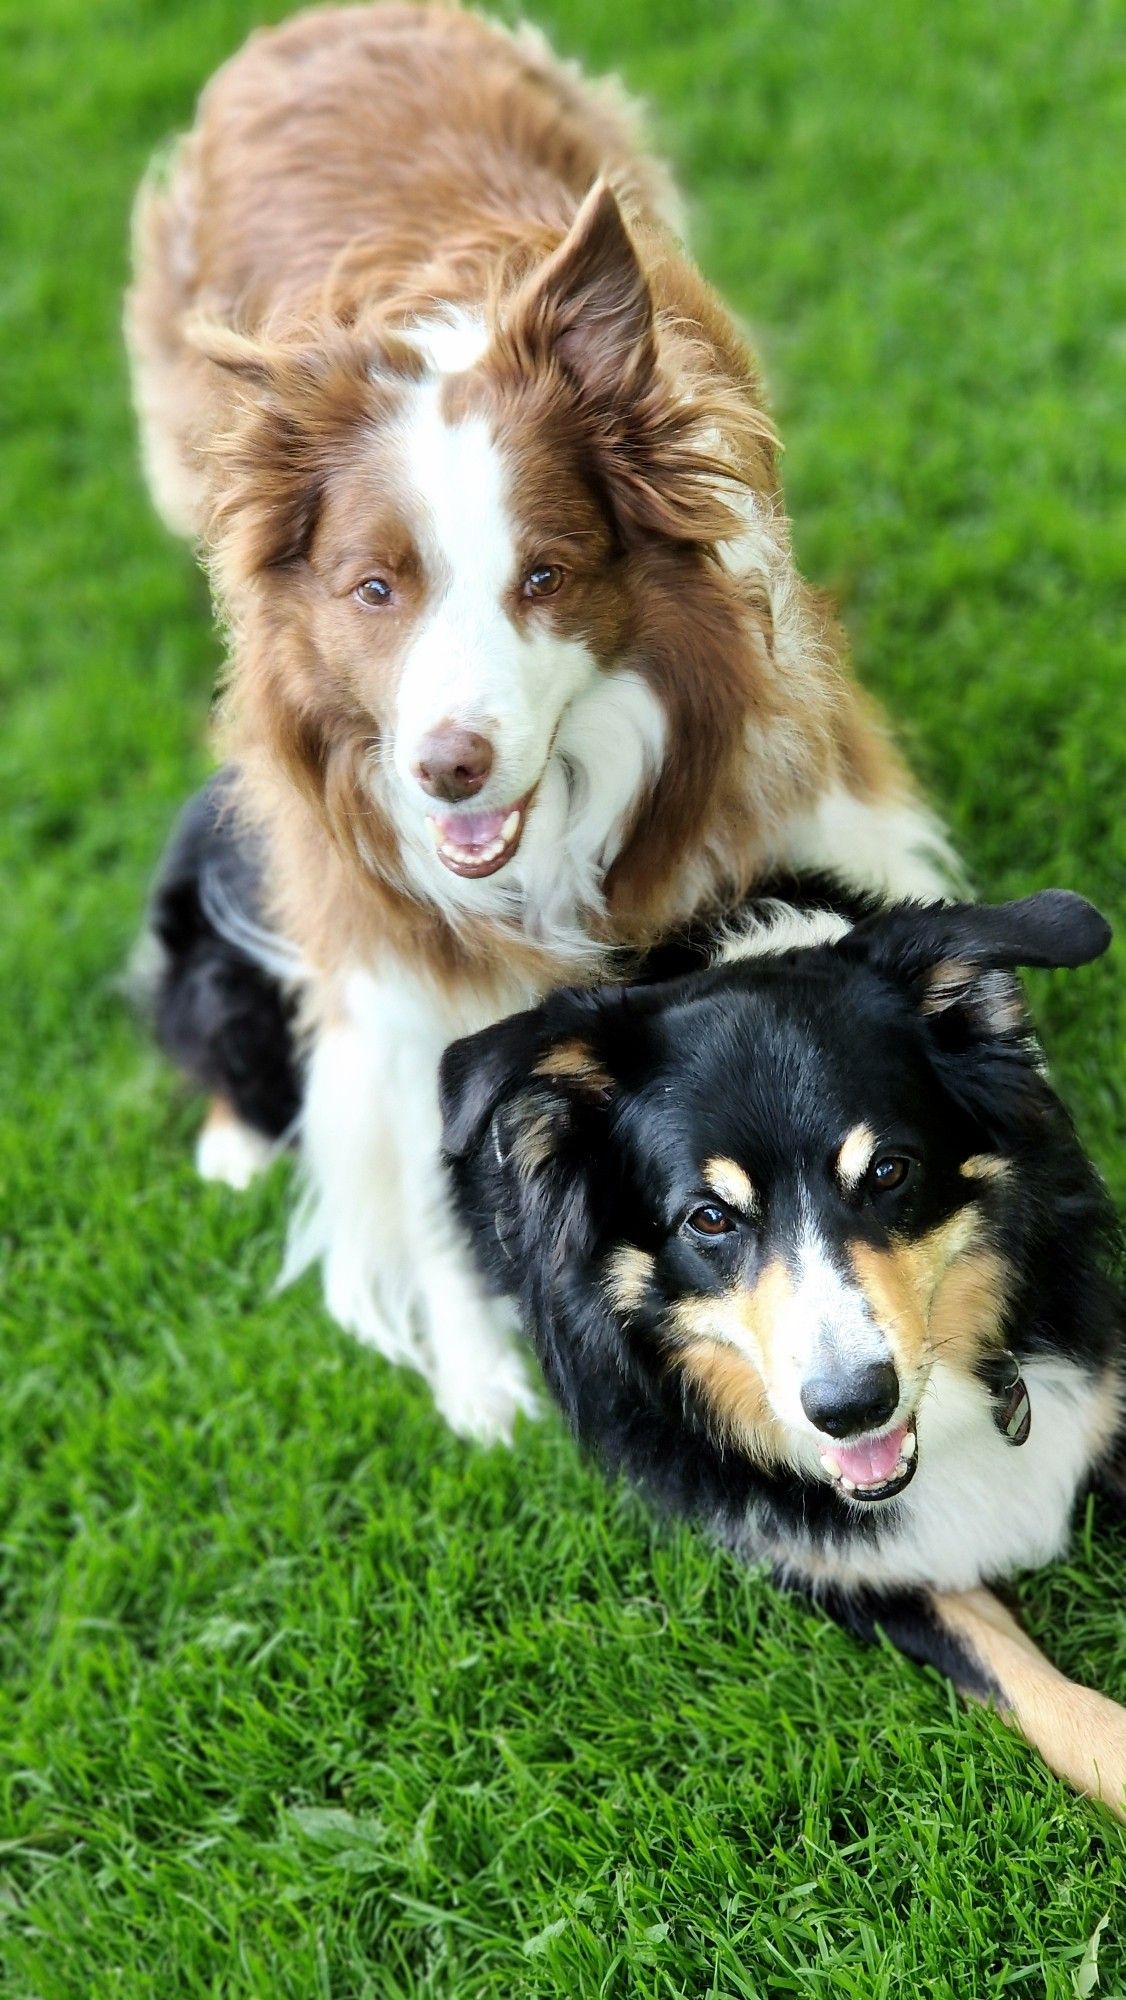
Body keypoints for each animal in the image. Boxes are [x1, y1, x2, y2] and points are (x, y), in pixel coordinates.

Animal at [130, 3, 960, 1440]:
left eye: (545, 578)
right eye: (374, 588)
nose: (448, 769)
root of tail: (313, 25)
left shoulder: (799, 767)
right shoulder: (378, 909)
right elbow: (416, 1141)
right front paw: (479, 1383)